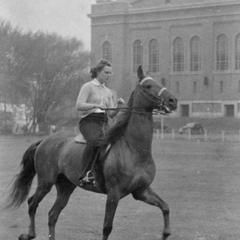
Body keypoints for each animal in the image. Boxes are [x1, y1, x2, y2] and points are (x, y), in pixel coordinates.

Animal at [7, 65, 177, 240]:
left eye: (159, 82)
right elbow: (107, 227)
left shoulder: (141, 191)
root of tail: (44, 141)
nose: (172, 100)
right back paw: (29, 234)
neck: (134, 149)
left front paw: (165, 233)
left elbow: (165, 207)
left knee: (52, 214)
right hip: (45, 182)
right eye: (148, 86)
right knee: (32, 203)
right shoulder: (114, 194)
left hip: (65, 186)